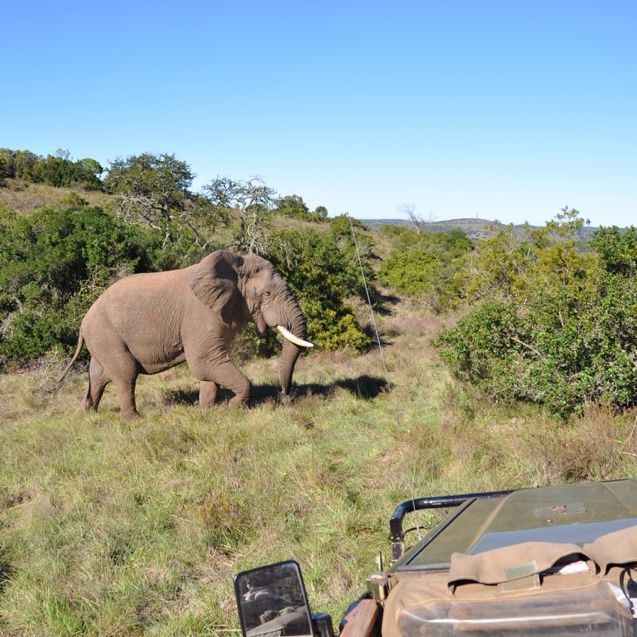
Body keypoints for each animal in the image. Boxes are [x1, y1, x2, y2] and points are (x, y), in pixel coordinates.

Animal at [58, 248, 312, 418]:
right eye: (267, 294)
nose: (284, 396)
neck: (234, 265)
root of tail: (83, 322)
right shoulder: (201, 315)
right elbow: (203, 362)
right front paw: (232, 408)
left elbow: (209, 366)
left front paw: (207, 412)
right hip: (107, 334)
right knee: (126, 373)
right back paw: (133, 419)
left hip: (101, 338)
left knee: (99, 375)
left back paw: (88, 414)